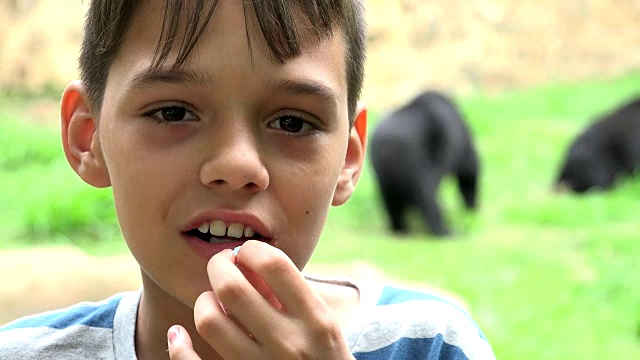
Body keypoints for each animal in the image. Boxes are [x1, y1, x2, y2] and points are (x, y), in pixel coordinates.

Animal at [370, 90, 480, 236]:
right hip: (418, 160)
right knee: (426, 194)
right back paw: (445, 231)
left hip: (383, 171)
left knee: (390, 199)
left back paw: (400, 228)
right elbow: (469, 172)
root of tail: (389, 143)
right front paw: (471, 210)